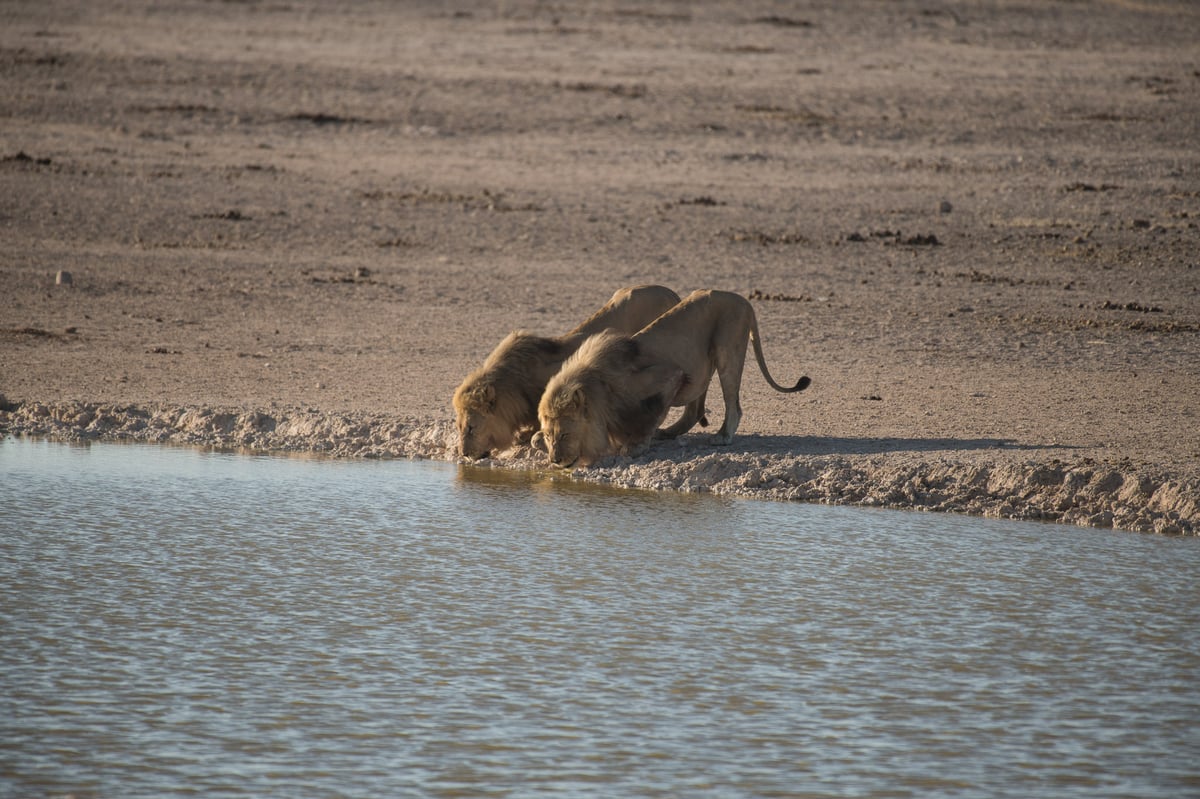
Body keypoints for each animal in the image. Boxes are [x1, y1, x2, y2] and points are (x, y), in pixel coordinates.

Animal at [451, 283, 681, 458]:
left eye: (471, 428)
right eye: (459, 427)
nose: (463, 454)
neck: (515, 384)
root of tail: (671, 293)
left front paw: (527, 435)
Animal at [537, 289, 811, 467]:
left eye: (565, 435)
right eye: (549, 436)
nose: (555, 460)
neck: (600, 390)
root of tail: (744, 300)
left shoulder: (670, 375)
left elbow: (651, 417)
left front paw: (636, 445)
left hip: (727, 347)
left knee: (733, 404)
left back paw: (723, 436)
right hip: (704, 362)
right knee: (695, 410)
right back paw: (669, 433)